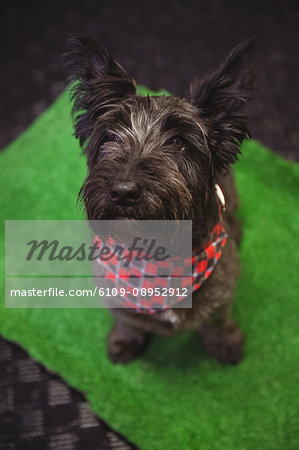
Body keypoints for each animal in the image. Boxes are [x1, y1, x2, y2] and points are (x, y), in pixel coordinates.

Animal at [65, 35, 255, 366]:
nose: (123, 191)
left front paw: (224, 343)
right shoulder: (113, 292)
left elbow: (218, 319)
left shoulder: (225, 288)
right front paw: (125, 341)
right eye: (112, 137)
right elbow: (127, 320)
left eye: (178, 143)